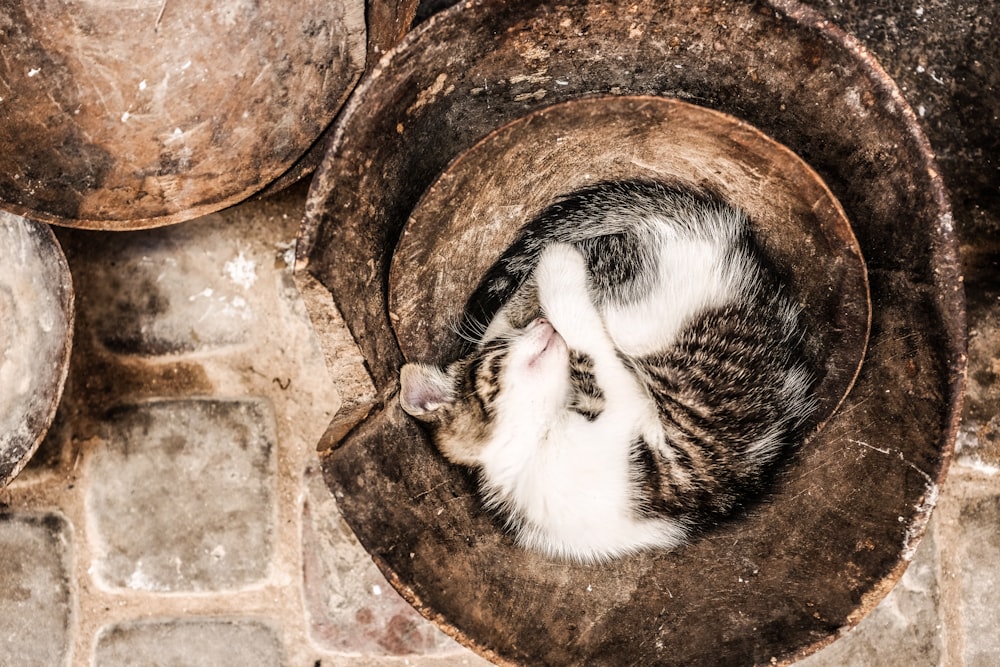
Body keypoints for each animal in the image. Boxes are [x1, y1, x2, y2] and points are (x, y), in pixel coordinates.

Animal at [394, 179, 816, 564]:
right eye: (498, 357)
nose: (539, 325)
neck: (529, 452)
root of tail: (713, 228)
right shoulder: (630, 411)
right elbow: (591, 348)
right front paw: (557, 271)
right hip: (632, 307)